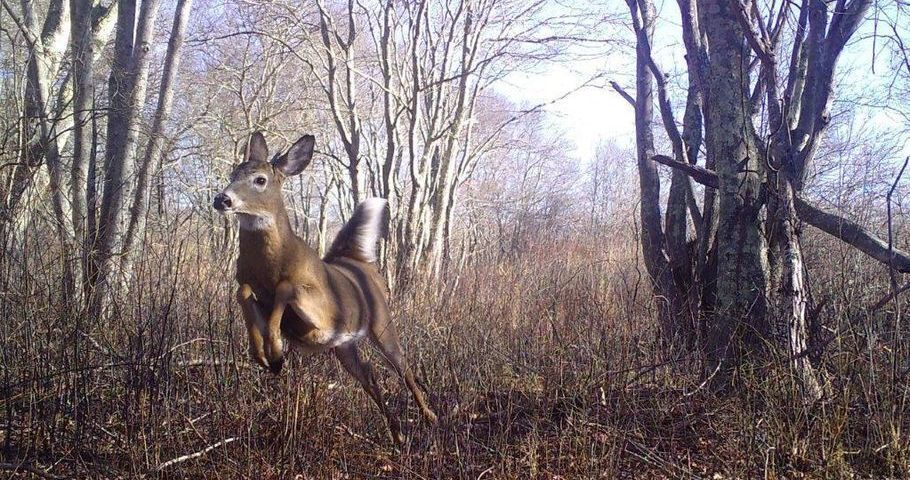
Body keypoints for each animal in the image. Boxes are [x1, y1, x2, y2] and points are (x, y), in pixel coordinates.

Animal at [216, 131, 440, 442]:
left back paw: (430, 417)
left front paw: (275, 349)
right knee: (370, 376)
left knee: (402, 367)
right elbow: (244, 291)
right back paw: (398, 435)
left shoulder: (325, 312)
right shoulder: (252, 287)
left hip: (381, 324)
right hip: (343, 347)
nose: (222, 199)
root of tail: (358, 261)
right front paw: (265, 355)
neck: (272, 265)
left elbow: (288, 288)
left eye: (260, 179)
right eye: (232, 174)